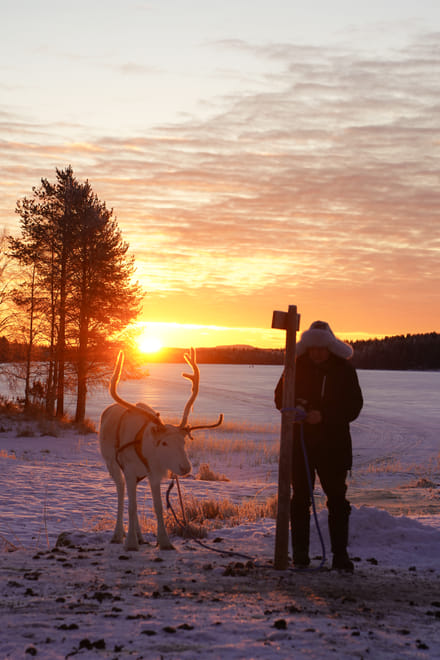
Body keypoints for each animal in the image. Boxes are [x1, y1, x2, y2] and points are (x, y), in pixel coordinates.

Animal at [99, 348, 223, 551]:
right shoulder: (130, 469)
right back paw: (118, 534)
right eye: (164, 443)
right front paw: (130, 543)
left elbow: (157, 507)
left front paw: (164, 541)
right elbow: (131, 506)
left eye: (183, 442)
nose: (185, 467)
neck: (146, 449)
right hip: (112, 464)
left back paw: (140, 536)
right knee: (122, 492)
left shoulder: (153, 473)